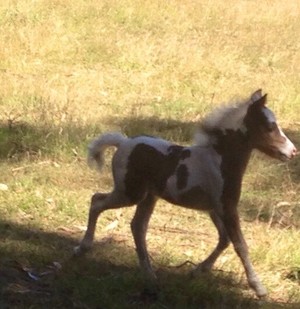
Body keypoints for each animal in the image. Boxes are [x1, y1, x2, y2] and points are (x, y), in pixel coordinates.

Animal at [74, 90, 296, 298]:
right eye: (270, 127)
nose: (293, 152)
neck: (219, 160)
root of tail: (124, 142)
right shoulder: (227, 207)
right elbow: (240, 244)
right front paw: (259, 288)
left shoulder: (215, 209)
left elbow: (224, 239)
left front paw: (197, 271)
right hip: (130, 192)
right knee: (97, 201)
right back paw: (84, 248)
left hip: (148, 196)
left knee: (138, 226)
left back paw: (150, 276)